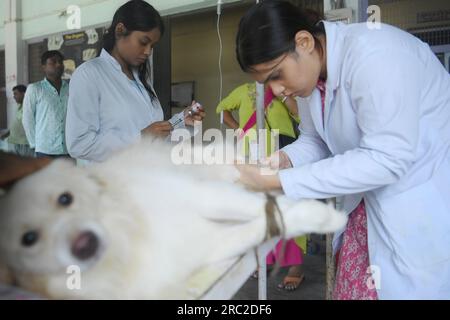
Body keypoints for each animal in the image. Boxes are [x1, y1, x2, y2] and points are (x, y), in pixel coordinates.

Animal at [0, 139, 348, 300]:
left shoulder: (201, 194)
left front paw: (320, 212)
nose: (84, 244)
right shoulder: (206, 243)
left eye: (65, 199)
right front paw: (320, 216)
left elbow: (265, 207)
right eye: (28, 239)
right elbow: (263, 221)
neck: (132, 235)